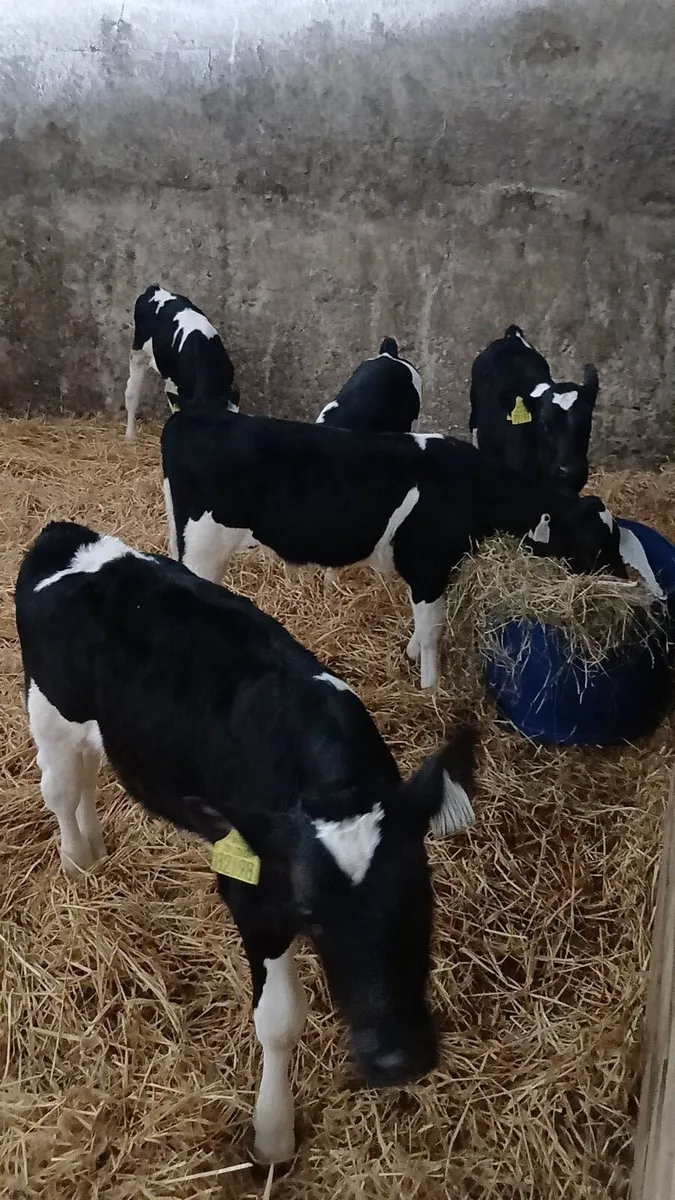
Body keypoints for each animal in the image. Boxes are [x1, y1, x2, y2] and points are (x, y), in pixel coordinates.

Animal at [15, 521, 477, 1166]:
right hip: (47, 712)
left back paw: (96, 849)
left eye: (420, 893)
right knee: (58, 788)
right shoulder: (252, 894)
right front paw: (273, 1135)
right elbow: (280, 1021)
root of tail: (66, 535)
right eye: (311, 912)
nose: (396, 1059)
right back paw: (78, 863)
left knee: (87, 776)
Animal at [160, 409, 626, 690]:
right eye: (595, 542)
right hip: (204, 548)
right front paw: (430, 686)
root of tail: (191, 418)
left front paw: (412, 656)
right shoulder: (429, 566)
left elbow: (424, 624)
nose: (625, 579)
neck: (474, 486)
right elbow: (432, 628)